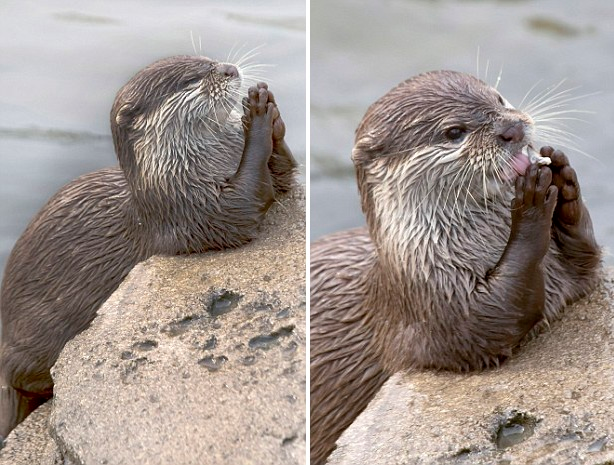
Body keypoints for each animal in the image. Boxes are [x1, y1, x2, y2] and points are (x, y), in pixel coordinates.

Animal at [0, 54, 298, 438]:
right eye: (191, 79)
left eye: (209, 60)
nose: (229, 69)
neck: (181, 171)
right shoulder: (195, 209)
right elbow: (248, 200)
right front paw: (258, 118)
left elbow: (283, 175)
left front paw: (266, 107)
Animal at [310, 70, 600, 464]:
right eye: (454, 132)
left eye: (498, 99)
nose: (512, 129)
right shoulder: (436, 305)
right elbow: (495, 319)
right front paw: (531, 204)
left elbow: (585, 258)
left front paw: (564, 179)